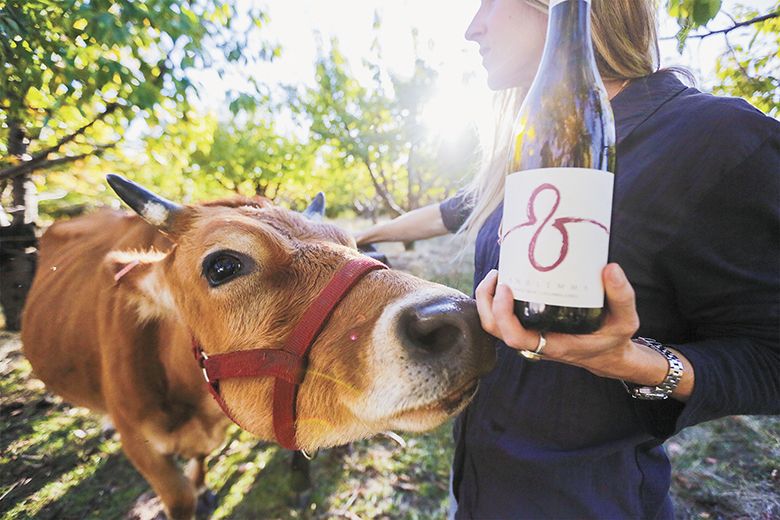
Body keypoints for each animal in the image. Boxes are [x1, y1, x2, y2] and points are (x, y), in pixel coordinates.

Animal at [21, 176, 496, 520]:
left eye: (352, 244)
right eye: (222, 266)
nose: (458, 316)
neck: (194, 405)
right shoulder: (142, 447)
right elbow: (180, 499)